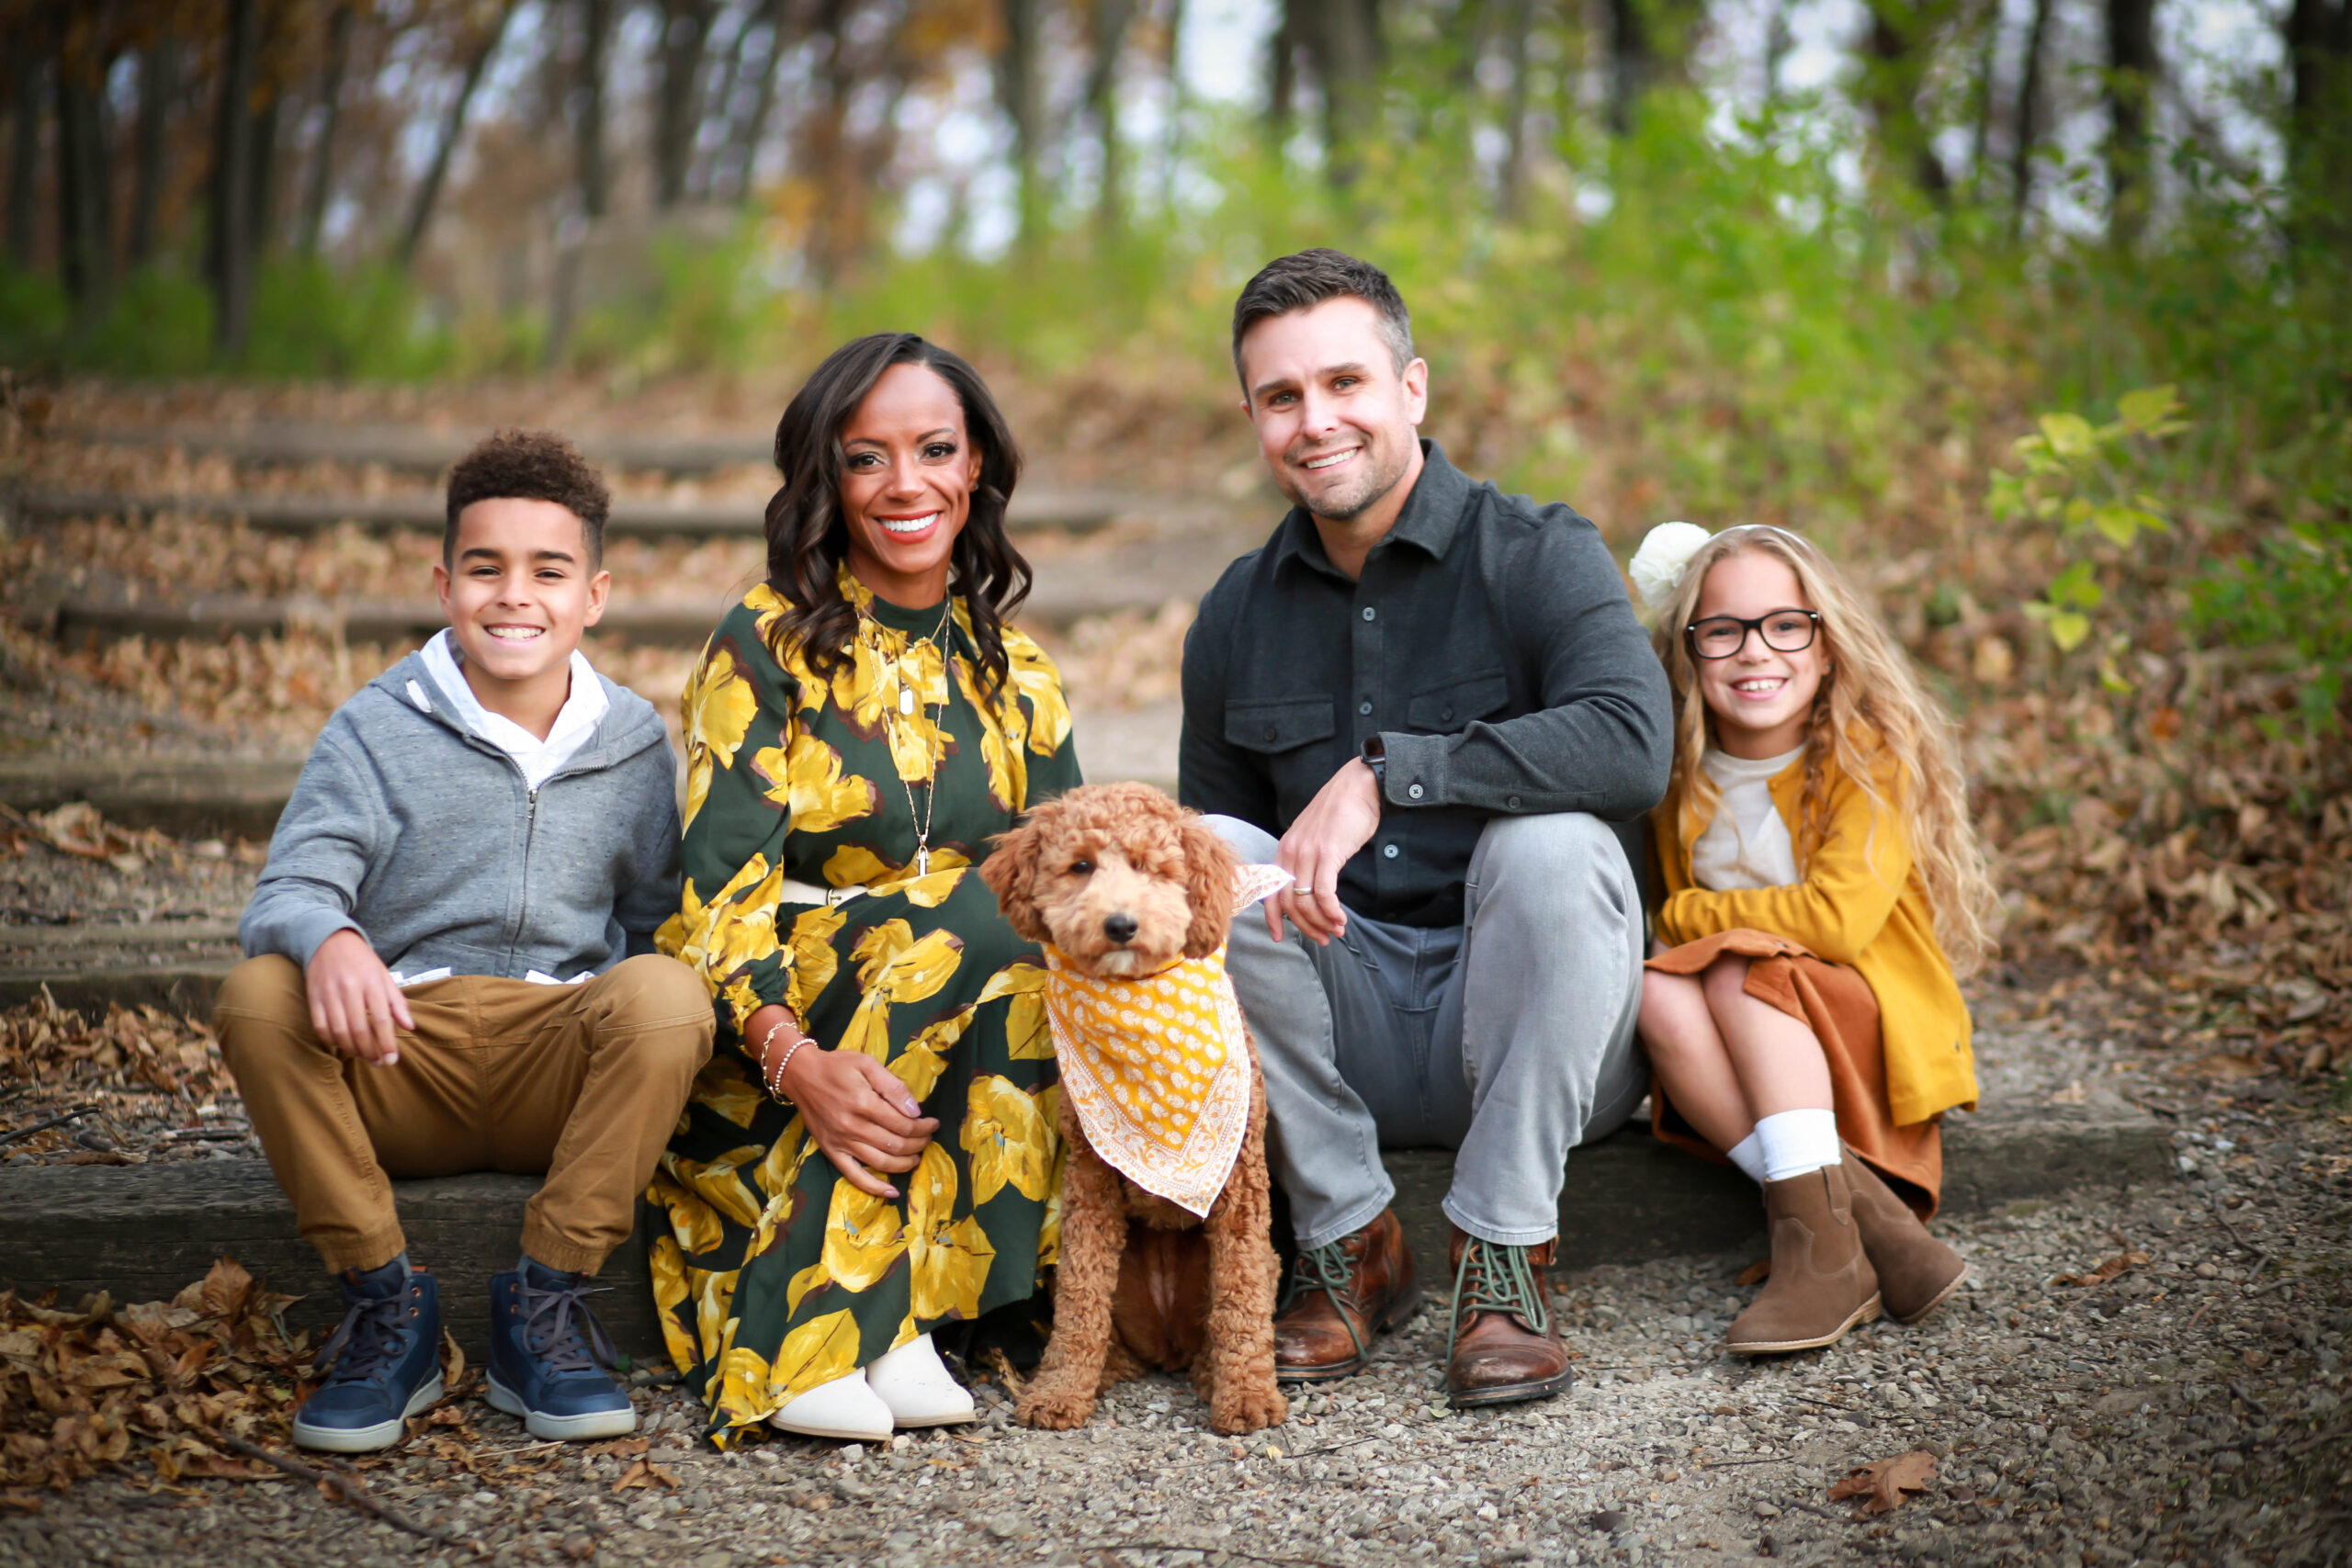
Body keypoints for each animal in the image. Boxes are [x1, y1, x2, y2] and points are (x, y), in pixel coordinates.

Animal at [980, 782, 1289, 1436]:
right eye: (1080, 867)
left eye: (1151, 867)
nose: (1120, 924)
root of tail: (1167, 1346)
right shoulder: (1088, 1182)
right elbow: (1081, 1297)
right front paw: (1060, 1392)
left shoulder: (1241, 1189)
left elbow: (1242, 1296)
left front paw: (1248, 1395)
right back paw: (1102, 1372)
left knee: (1223, 1316)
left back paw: (1211, 1374)